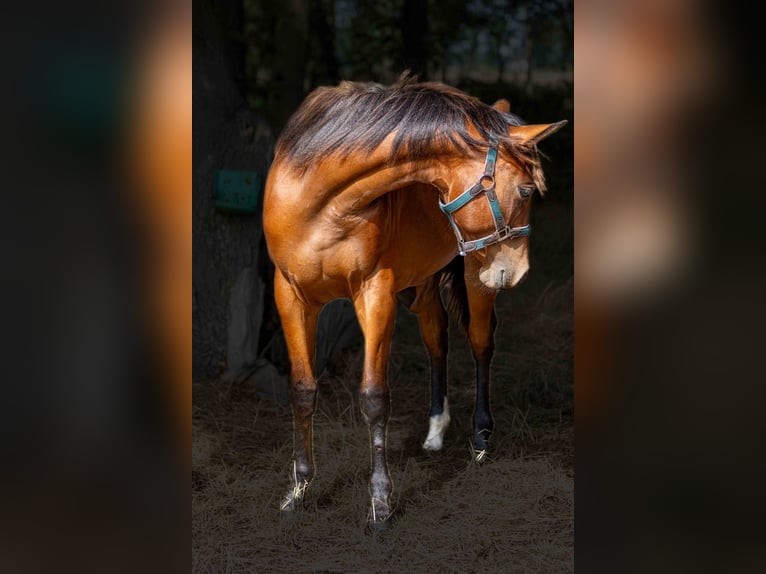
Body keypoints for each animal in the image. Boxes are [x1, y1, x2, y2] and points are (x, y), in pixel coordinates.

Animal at [263, 76, 566, 524]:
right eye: (526, 190)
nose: (517, 271)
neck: (320, 202)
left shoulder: (375, 295)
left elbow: (374, 397)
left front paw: (381, 503)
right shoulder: (290, 296)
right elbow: (302, 390)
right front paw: (298, 490)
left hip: (475, 277)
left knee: (480, 343)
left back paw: (480, 438)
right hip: (423, 286)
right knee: (436, 340)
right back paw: (437, 429)